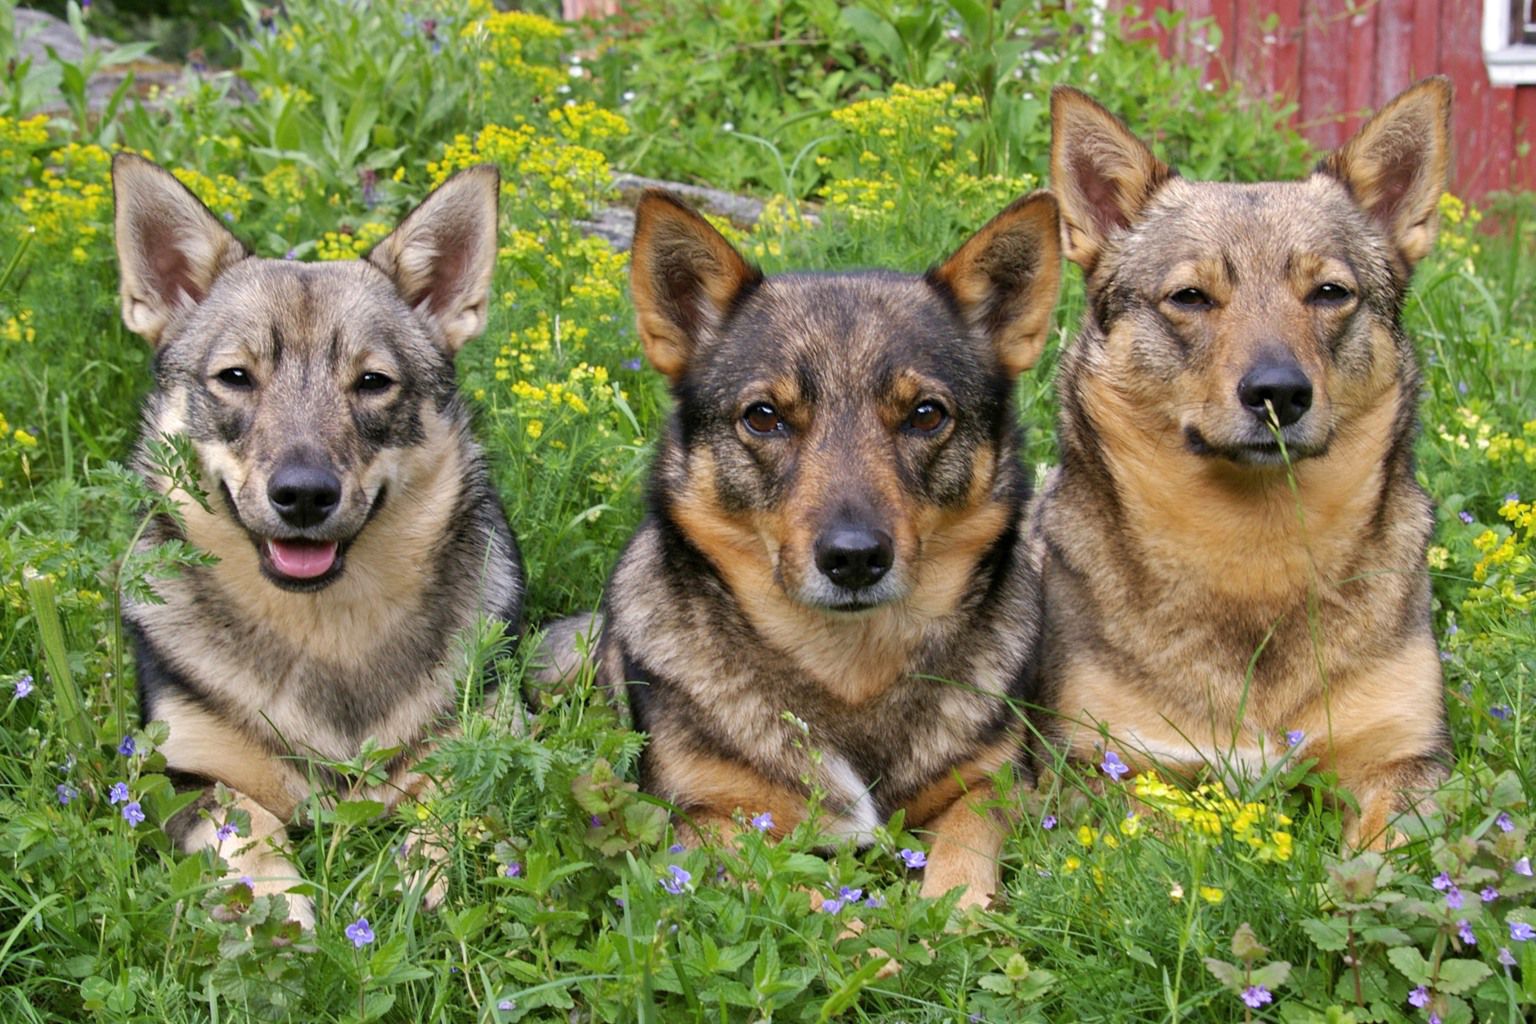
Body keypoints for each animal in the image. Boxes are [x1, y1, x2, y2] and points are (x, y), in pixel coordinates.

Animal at [112, 154, 522, 927]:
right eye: (236, 377)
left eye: (372, 382)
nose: (303, 494)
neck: (325, 625)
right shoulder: (175, 770)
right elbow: (244, 823)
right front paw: (279, 910)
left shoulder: (495, 739)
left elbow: (451, 800)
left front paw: (421, 880)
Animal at [589, 188, 1069, 908]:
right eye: (764, 416)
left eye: (927, 414)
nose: (854, 558)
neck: (848, 668)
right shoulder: (706, 818)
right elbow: (804, 900)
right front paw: (864, 933)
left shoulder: (992, 784)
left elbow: (963, 857)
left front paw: (956, 915)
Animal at [1032, 82, 1449, 847]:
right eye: (1190, 297)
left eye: (1330, 293)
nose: (1279, 392)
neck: (1253, 549)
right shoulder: (1105, 765)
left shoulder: (1406, 759)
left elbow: (1386, 860)